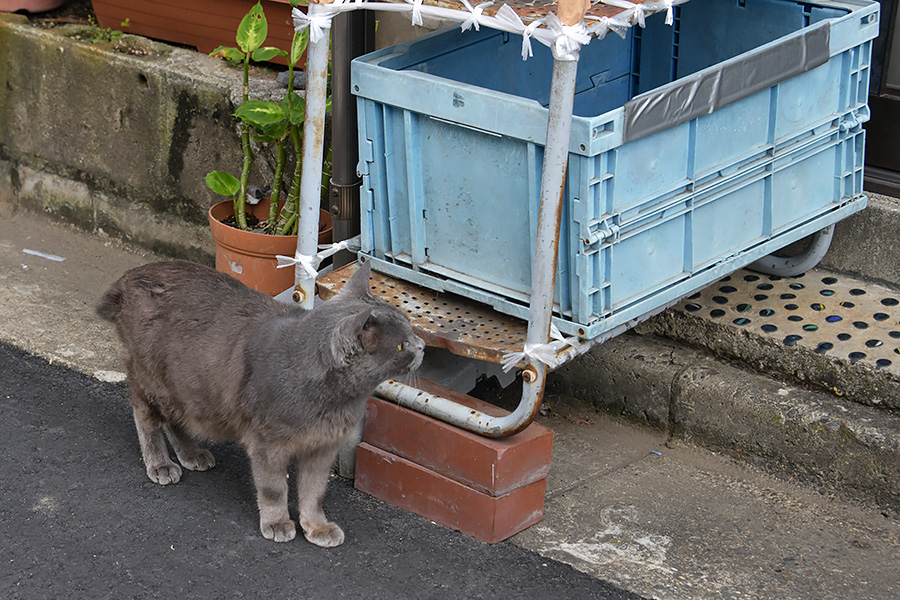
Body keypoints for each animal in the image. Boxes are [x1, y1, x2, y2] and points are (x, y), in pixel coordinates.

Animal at [96, 260, 428, 548]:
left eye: (412, 330)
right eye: (401, 345)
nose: (423, 345)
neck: (338, 401)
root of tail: (131, 276)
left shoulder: (323, 447)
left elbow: (315, 491)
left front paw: (317, 527)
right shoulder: (268, 443)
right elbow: (273, 487)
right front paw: (278, 523)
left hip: (188, 386)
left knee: (177, 419)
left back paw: (192, 454)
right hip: (153, 379)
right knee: (146, 416)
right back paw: (161, 464)